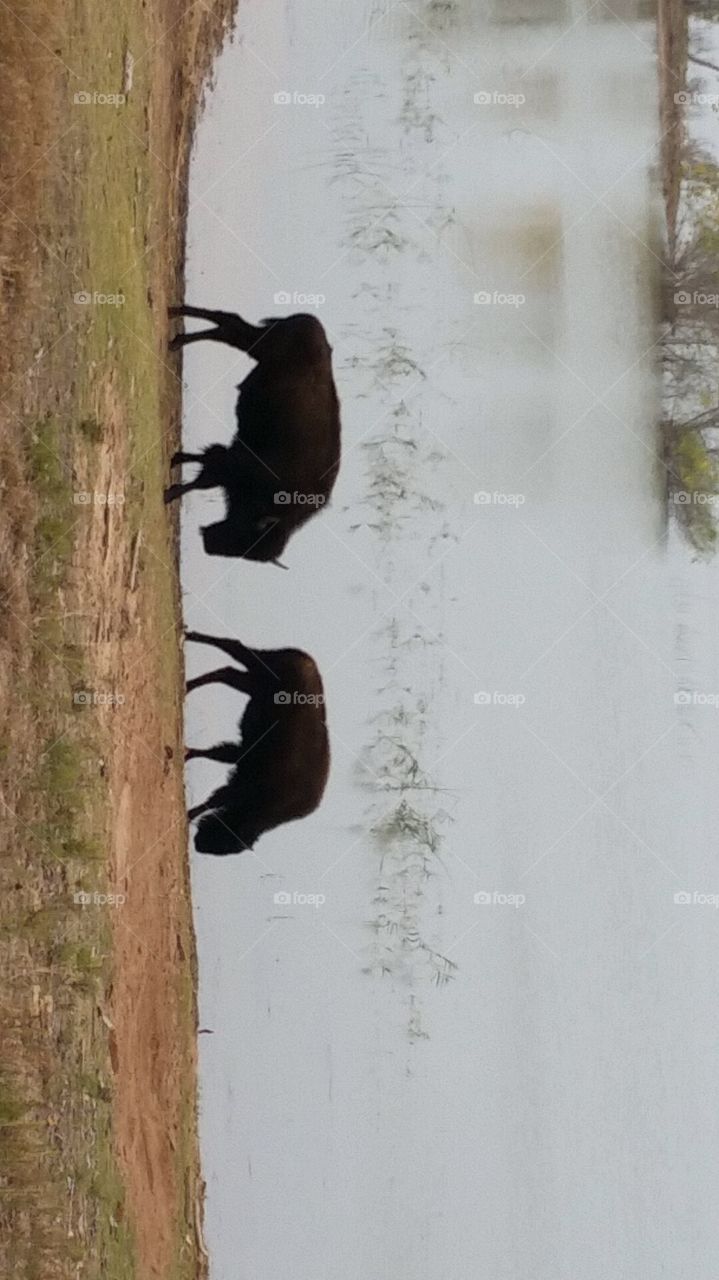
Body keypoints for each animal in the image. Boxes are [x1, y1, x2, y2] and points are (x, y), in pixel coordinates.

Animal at [163, 304, 340, 565]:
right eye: (249, 535)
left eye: (248, 551)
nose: (209, 543)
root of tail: (310, 322)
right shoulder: (233, 465)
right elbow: (203, 479)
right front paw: (169, 493)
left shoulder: (230, 457)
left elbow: (203, 465)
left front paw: (175, 461)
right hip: (258, 345)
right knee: (228, 325)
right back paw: (176, 329)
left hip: (255, 346)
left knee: (227, 326)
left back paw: (176, 328)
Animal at [184, 627, 330, 855]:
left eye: (228, 845)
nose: (200, 845)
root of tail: (305, 660)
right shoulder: (241, 778)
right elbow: (214, 794)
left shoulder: (240, 760)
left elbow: (214, 762)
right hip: (255, 667)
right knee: (232, 647)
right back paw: (191, 641)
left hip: (250, 682)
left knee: (225, 671)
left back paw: (188, 679)